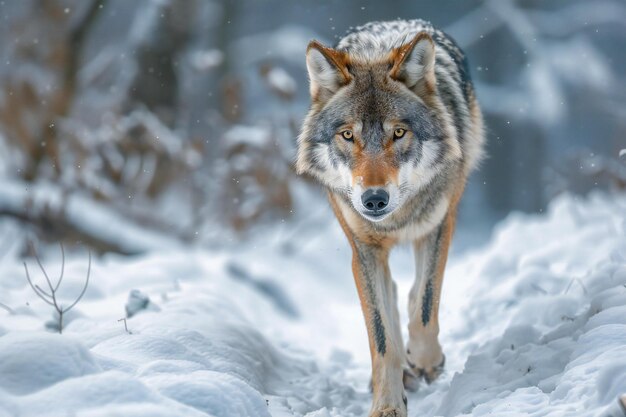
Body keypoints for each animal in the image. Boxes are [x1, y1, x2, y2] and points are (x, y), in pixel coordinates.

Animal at [294, 19, 486, 416]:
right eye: (347, 135)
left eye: (398, 132)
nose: (374, 200)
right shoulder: (363, 251)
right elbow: (381, 338)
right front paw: (387, 404)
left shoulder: (438, 226)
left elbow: (426, 305)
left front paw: (427, 360)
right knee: (394, 296)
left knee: (411, 294)